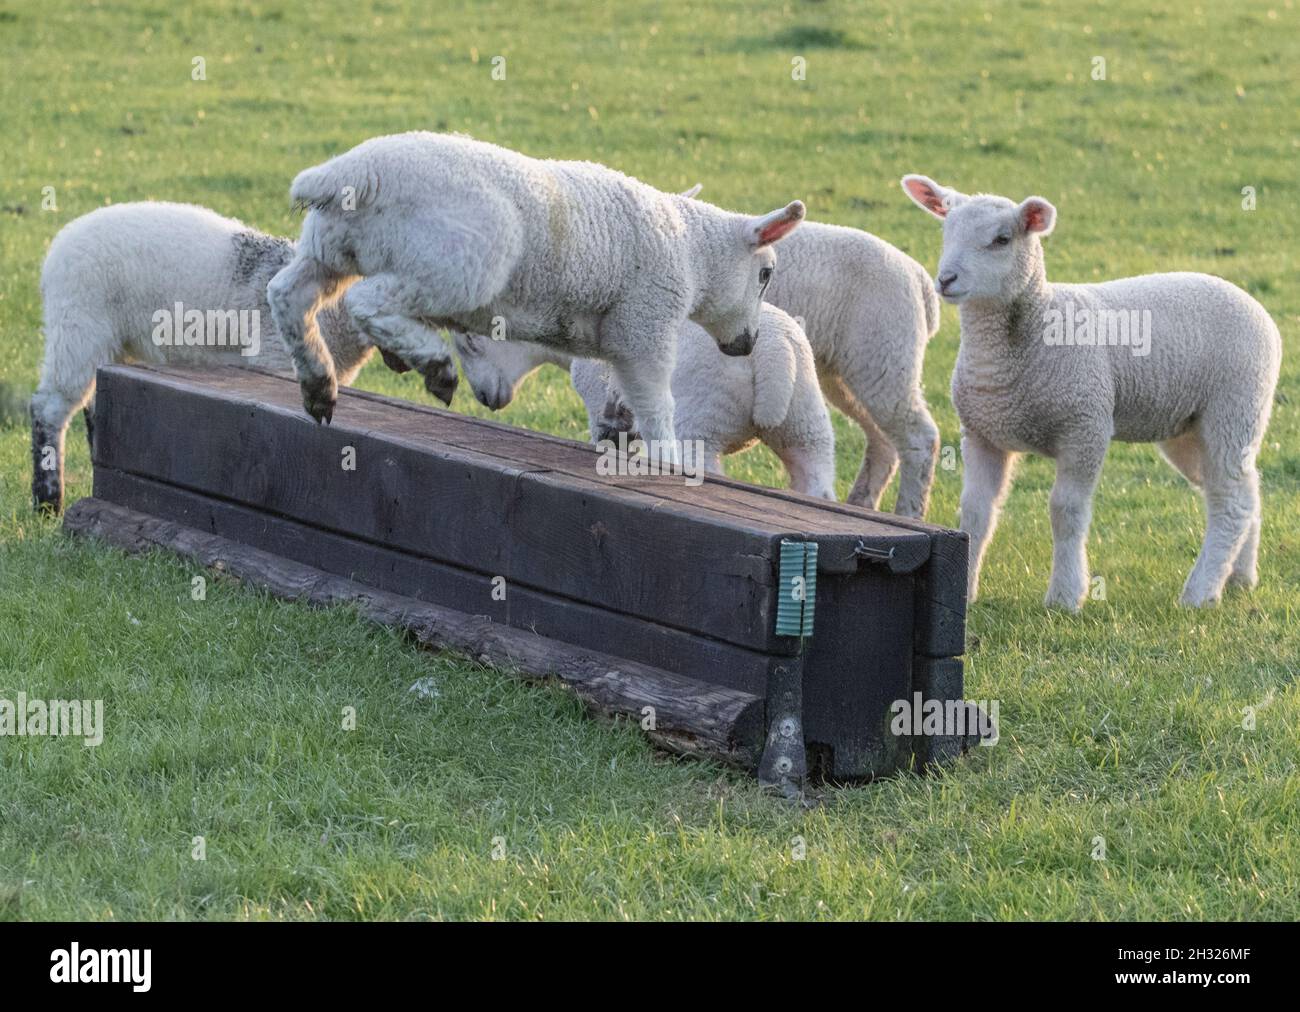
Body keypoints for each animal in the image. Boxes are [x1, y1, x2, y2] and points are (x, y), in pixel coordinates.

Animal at [30, 200, 379, 512]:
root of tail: (57, 248)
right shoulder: (274, 360)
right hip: (78, 324)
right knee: (49, 407)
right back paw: (48, 501)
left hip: (110, 340)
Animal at [269, 129, 806, 460]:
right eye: (766, 274)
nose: (746, 344)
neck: (691, 250)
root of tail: (354, 173)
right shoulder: (644, 327)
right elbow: (658, 405)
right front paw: (669, 461)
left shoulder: (623, 340)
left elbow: (627, 400)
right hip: (452, 265)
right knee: (365, 303)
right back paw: (434, 365)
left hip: (330, 247)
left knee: (287, 295)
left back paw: (319, 385)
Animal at [899, 173, 1284, 606]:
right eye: (946, 229)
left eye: (1002, 239)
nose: (946, 279)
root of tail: (1255, 305)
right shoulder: (983, 434)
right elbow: (976, 512)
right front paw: (964, 590)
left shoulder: (1085, 426)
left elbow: (1065, 511)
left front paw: (1065, 596)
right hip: (1191, 429)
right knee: (1245, 489)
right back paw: (1239, 577)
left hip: (1234, 407)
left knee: (1229, 502)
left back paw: (1199, 593)